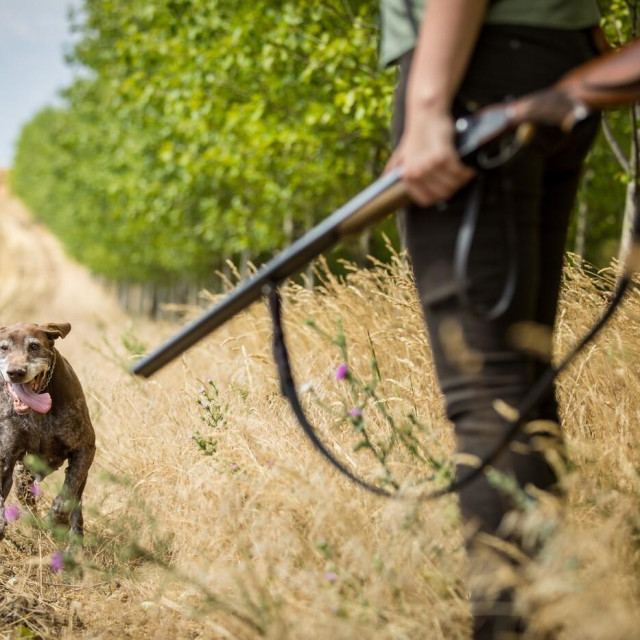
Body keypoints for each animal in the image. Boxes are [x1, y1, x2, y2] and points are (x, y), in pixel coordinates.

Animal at [0, 322, 95, 544]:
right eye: (3, 348)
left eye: (34, 346)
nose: (15, 372)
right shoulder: (6, 460)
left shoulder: (85, 449)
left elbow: (65, 498)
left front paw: (56, 522)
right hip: (22, 475)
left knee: (76, 505)